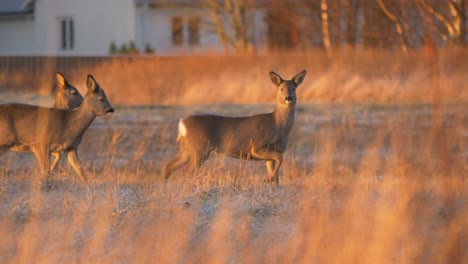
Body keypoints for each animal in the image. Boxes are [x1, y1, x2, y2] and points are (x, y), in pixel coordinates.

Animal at [165, 70, 308, 186]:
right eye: (281, 89)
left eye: (294, 88)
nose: (289, 98)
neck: (278, 125)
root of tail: (182, 123)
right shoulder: (257, 146)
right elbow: (280, 159)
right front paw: (267, 180)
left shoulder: (270, 153)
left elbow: (276, 171)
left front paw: (272, 184)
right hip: (200, 148)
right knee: (186, 171)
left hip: (187, 149)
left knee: (169, 165)